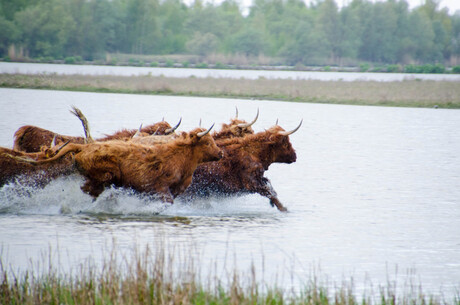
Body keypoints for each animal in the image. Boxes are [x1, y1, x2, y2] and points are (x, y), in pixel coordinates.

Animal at [22, 124, 223, 201]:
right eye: (207, 142)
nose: (220, 152)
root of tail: (83, 147)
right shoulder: (159, 187)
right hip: (104, 175)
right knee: (90, 189)